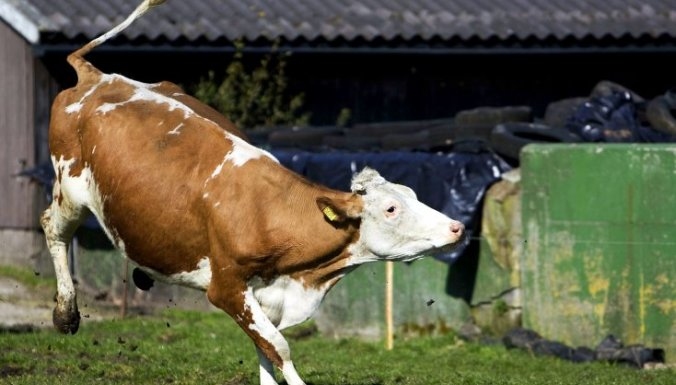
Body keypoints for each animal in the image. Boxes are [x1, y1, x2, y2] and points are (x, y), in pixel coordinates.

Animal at [41, 1, 464, 382]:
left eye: (412, 193)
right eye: (391, 208)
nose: (457, 227)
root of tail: (99, 77)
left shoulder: (267, 295)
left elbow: (265, 348)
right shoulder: (227, 288)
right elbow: (279, 348)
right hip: (71, 191)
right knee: (52, 228)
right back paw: (65, 313)